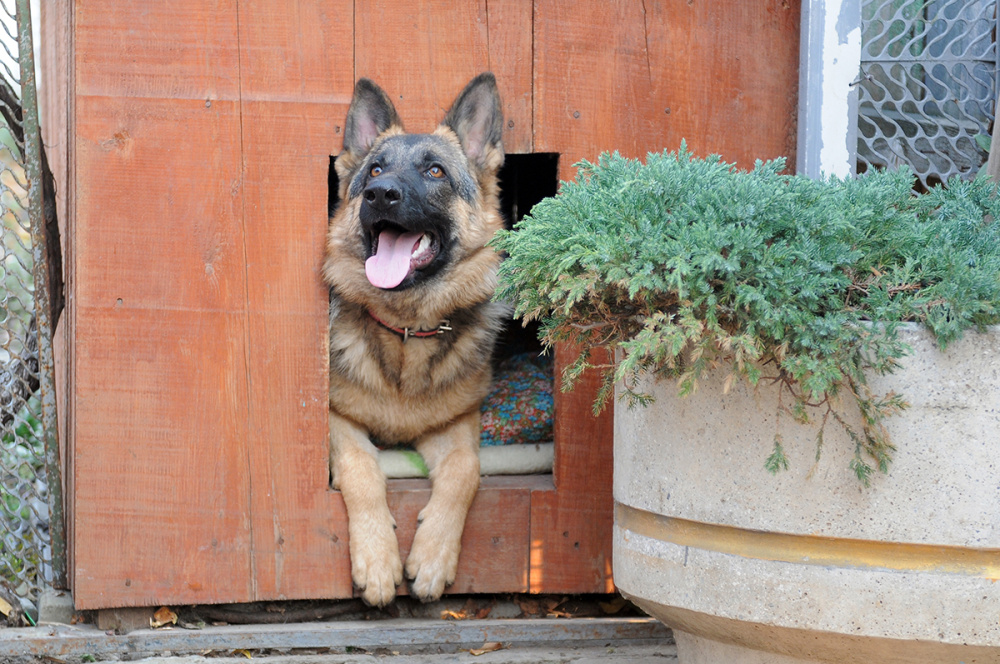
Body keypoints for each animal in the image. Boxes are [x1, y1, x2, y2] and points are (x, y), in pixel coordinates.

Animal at [322, 74, 508, 608]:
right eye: (375, 168)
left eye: (435, 171)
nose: (379, 194)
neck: (406, 329)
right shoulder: (336, 420)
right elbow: (362, 466)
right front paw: (378, 561)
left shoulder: (458, 423)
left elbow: (466, 469)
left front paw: (432, 557)